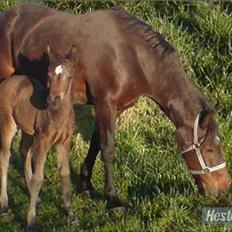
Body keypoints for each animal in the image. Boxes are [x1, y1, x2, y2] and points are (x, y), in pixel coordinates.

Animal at [0, 45, 78, 230]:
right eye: (48, 75)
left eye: (69, 76)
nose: (53, 99)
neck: (58, 115)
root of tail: (8, 81)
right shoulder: (43, 141)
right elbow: (38, 178)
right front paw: (30, 221)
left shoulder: (64, 143)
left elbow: (65, 174)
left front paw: (71, 214)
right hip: (8, 124)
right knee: (5, 157)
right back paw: (4, 204)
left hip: (29, 131)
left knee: (24, 152)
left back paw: (36, 199)